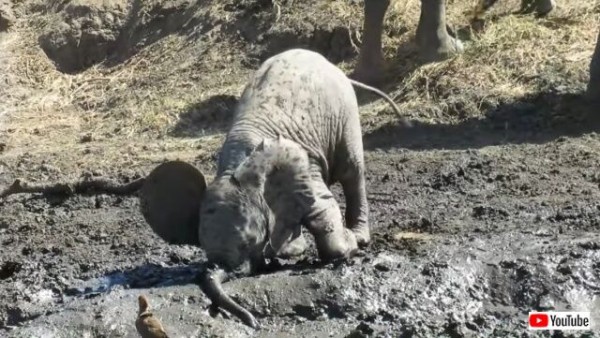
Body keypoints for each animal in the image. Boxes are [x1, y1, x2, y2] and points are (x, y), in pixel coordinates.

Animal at [139, 48, 406, 328]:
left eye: (249, 243)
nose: (253, 322)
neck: (237, 168)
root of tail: (331, 65)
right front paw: (283, 253)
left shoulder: (306, 166)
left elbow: (323, 208)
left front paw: (348, 246)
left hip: (346, 114)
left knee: (352, 172)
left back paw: (359, 236)